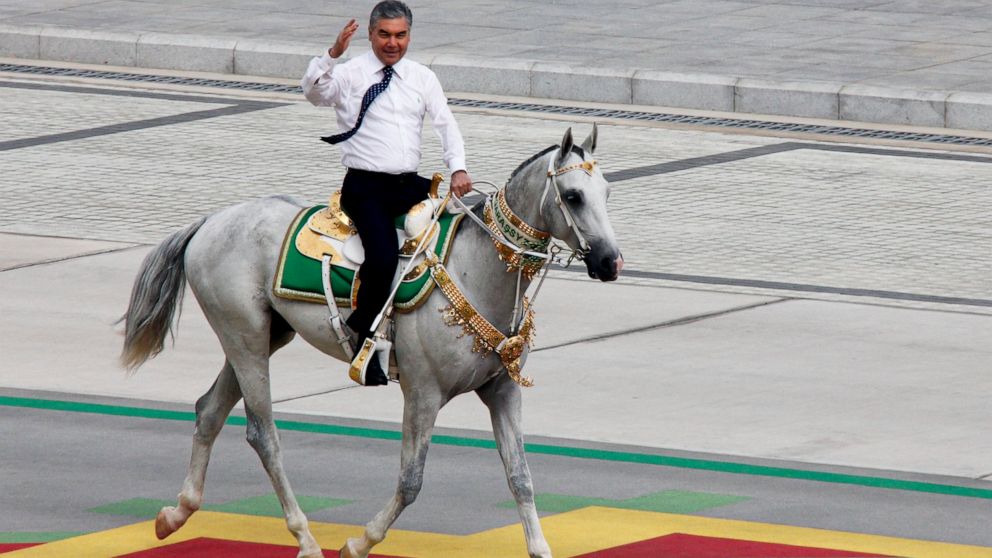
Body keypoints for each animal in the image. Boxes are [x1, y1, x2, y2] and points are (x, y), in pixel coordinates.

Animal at [120, 126, 624, 558]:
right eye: (573, 196)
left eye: (606, 192)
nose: (610, 261)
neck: (475, 268)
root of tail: (210, 221)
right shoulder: (423, 394)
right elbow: (411, 480)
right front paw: (359, 542)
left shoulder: (502, 391)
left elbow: (521, 476)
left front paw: (539, 547)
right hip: (244, 339)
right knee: (263, 434)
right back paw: (304, 538)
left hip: (260, 337)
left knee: (209, 410)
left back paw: (176, 514)